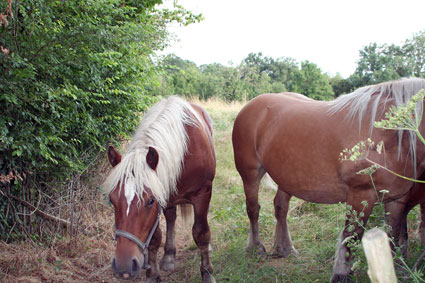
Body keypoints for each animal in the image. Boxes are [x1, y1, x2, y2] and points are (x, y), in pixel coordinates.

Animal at [102, 96, 215, 282]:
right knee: (171, 218)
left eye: (150, 201)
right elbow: (155, 239)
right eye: (112, 200)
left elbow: (201, 232)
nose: (124, 266)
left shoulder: (202, 193)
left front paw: (207, 272)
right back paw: (169, 255)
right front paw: (153, 275)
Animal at [230, 77, 424, 282]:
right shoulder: (360, 196)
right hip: (250, 174)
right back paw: (256, 248)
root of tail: (252, 105)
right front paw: (341, 273)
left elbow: (394, 236)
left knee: (280, 208)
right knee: (253, 209)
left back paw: (285, 248)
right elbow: (351, 235)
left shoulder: (397, 201)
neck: (392, 134)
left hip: (286, 177)